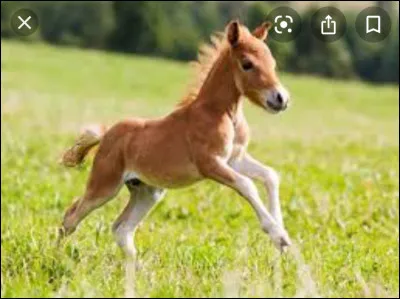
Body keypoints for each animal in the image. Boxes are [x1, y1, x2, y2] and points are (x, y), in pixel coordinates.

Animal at [58, 20, 290, 258]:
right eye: (247, 64)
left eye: (272, 63)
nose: (281, 99)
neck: (222, 113)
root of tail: (106, 135)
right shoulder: (210, 163)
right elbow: (247, 184)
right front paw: (278, 235)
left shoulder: (235, 159)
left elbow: (270, 176)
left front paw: (280, 230)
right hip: (105, 186)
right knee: (71, 217)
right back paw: (57, 257)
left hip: (148, 192)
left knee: (122, 229)